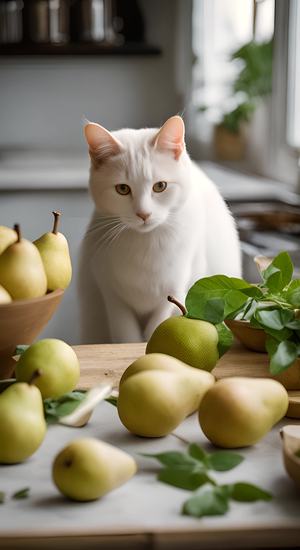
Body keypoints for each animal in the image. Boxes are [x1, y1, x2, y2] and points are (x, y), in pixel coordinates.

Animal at [78, 116, 241, 344]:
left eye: (160, 186)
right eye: (122, 189)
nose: (143, 214)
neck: (146, 246)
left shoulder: (178, 288)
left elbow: (159, 323)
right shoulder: (112, 295)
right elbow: (126, 336)